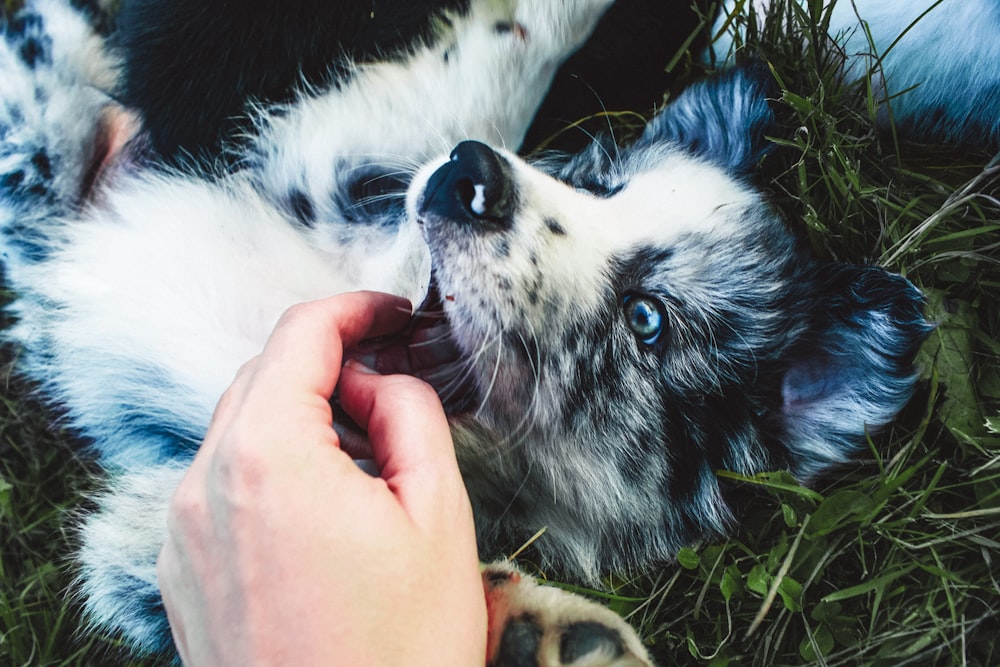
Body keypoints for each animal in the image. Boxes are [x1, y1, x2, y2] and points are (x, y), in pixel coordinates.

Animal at [0, 0, 960, 660]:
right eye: (598, 182)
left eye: (647, 320)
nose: (470, 180)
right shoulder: (336, 167)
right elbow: (486, 78)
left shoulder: (156, 543)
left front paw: (522, 628)